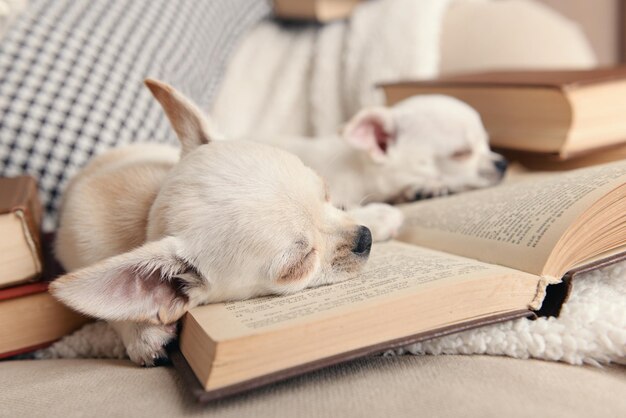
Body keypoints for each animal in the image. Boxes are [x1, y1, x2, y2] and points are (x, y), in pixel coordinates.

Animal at [51, 78, 370, 366]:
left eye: (326, 192)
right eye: (297, 266)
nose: (364, 238)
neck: (145, 211)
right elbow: (109, 311)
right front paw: (141, 333)